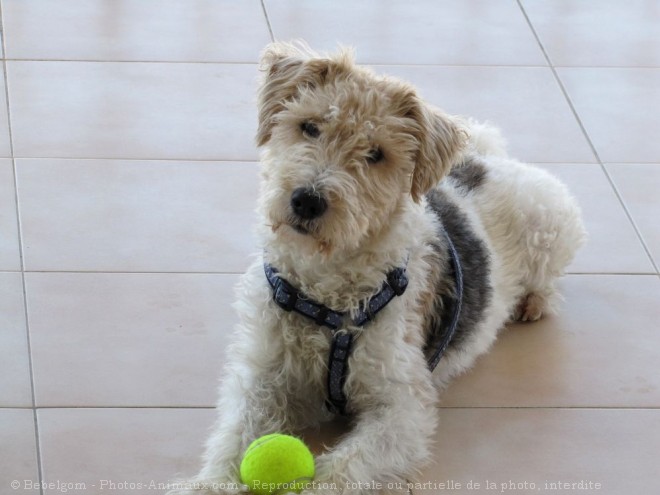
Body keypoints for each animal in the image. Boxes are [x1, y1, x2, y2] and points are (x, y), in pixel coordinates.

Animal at [169, 41, 584, 492]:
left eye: (376, 154)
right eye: (309, 126)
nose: (307, 201)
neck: (325, 297)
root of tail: (488, 162)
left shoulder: (401, 405)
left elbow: (344, 467)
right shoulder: (262, 376)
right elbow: (235, 436)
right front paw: (209, 484)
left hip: (553, 229)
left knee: (548, 284)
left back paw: (531, 303)